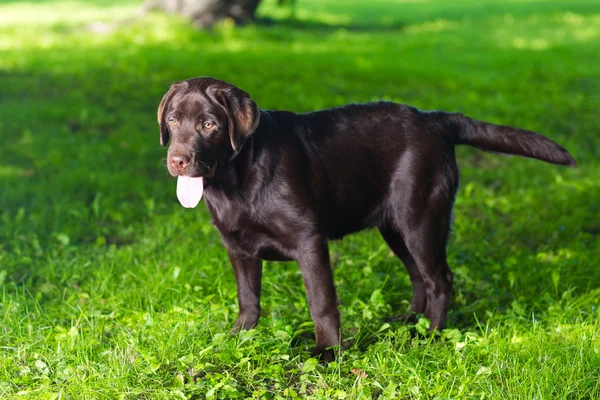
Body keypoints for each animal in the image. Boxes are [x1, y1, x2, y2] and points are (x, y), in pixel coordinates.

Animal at [158, 76, 576, 360]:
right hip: (395, 227)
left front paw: (328, 353)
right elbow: (248, 299)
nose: (177, 161)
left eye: (209, 125)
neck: (235, 179)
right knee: (418, 276)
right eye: (174, 121)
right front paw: (238, 338)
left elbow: (321, 302)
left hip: (421, 218)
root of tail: (435, 119)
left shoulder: (309, 241)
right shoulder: (238, 247)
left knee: (440, 278)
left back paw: (431, 335)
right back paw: (409, 321)